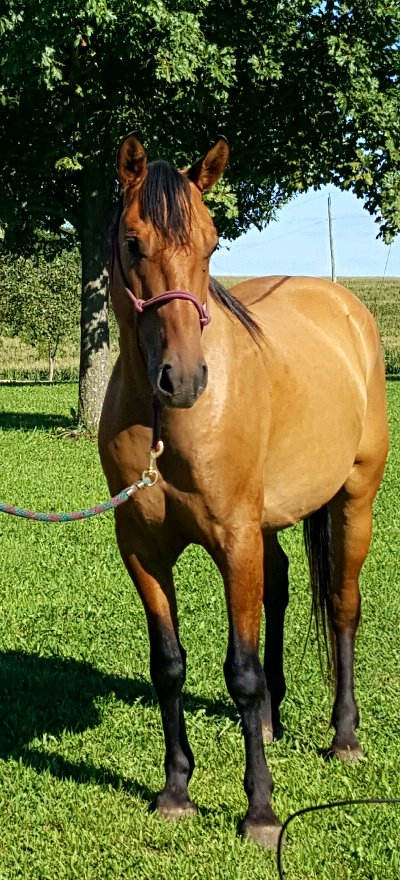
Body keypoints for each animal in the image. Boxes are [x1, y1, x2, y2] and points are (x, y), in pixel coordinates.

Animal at [98, 134, 390, 848]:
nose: (183, 379)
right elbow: (169, 666)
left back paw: (344, 737)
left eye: (211, 244)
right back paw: (269, 724)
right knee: (281, 588)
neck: (166, 424)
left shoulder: (233, 539)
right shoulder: (142, 548)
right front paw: (177, 790)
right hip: (268, 524)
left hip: (354, 503)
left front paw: (260, 809)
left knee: (343, 606)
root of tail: (346, 308)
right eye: (133, 243)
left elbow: (242, 670)